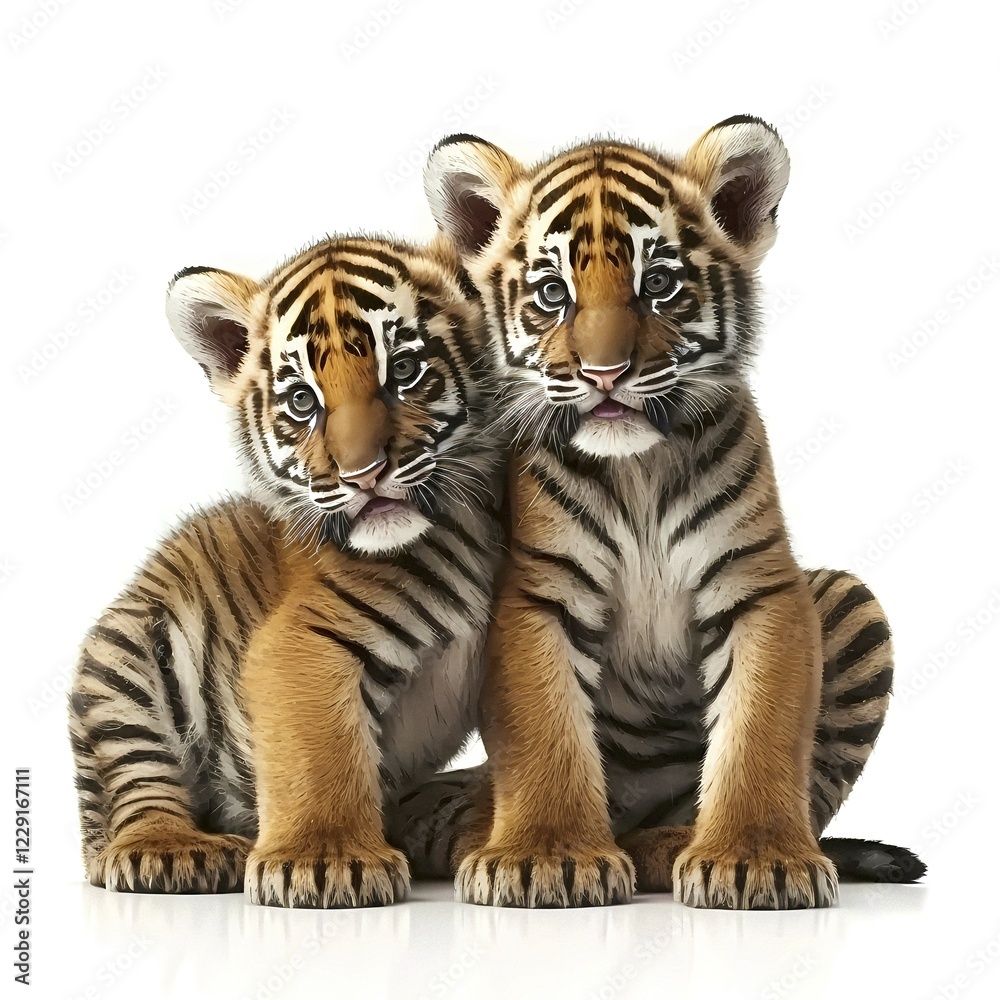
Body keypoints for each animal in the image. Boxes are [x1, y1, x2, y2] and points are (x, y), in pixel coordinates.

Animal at [69, 235, 505, 907]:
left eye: (404, 371)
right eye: (303, 401)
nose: (363, 475)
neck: (464, 526)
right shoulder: (307, 640)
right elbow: (320, 749)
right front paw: (325, 860)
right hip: (122, 664)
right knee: (134, 796)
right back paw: (172, 850)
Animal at [393, 116, 925, 909]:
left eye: (660, 285)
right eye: (552, 292)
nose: (604, 374)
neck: (637, 466)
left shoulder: (758, 585)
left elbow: (761, 730)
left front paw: (757, 858)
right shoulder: (539, 592)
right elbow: (546, 730)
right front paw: (547, 855)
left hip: (849, 599)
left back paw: (677, 842)